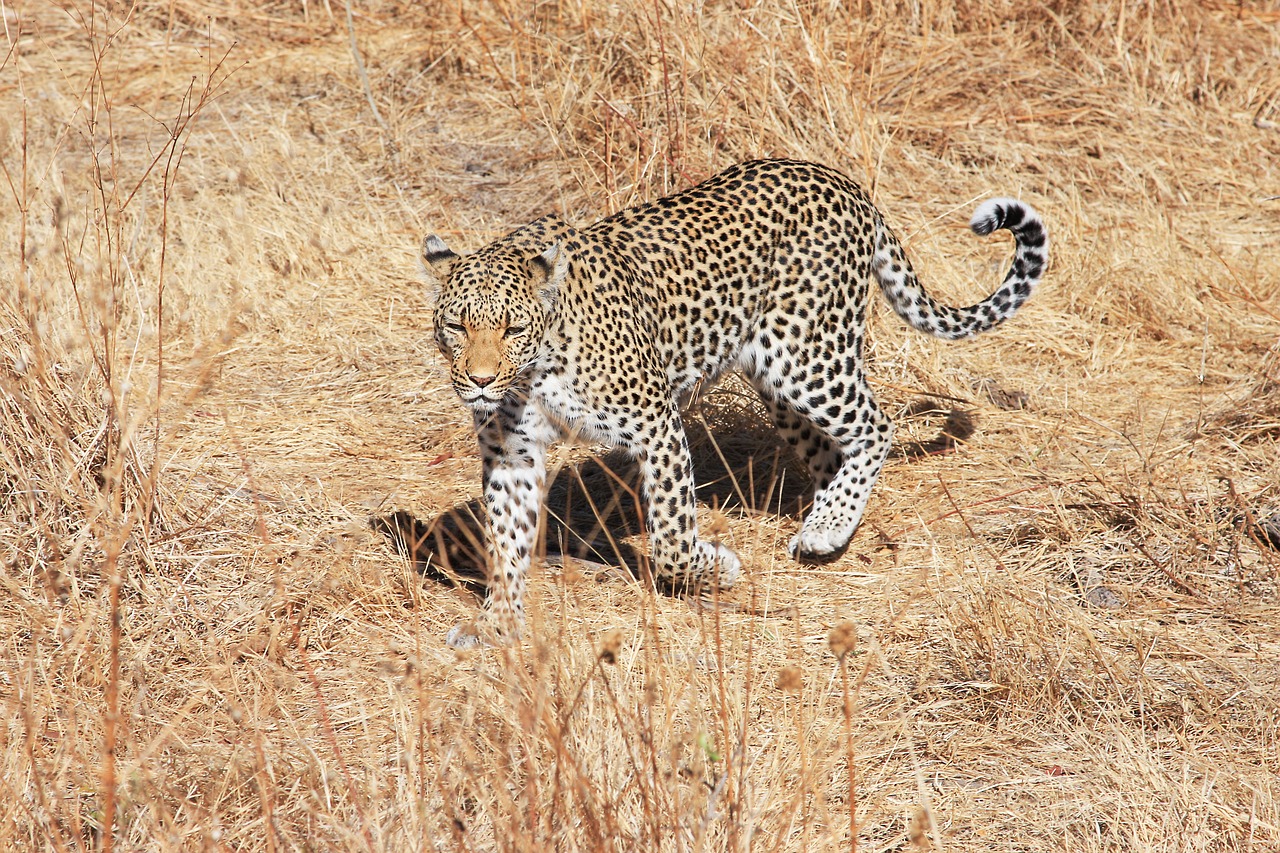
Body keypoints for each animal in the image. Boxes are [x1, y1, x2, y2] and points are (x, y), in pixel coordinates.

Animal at [422, 157, 1049, 645]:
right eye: (456, 326)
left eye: (511, 327)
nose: (480, 381)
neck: (534, 370)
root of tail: (843, 182)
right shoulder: (511, 454)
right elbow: (505, 542)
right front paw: (497, 622)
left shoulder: (655, 425)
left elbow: (671, 535)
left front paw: (714, 569)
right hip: (779, 384)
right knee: (831, 451)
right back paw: (830, 521)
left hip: (807, 358)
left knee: (877, 425)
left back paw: (827, 526)